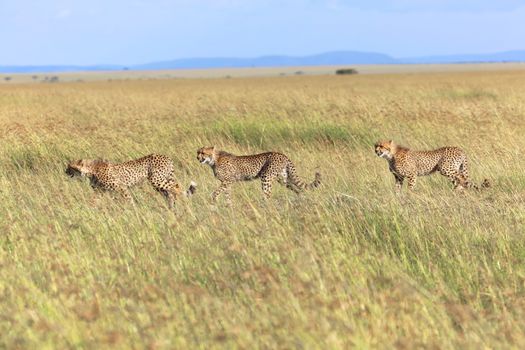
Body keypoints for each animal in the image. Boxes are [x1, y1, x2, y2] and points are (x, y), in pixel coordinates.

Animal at [65, 154, 196, 208]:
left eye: (70, 167)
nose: (65, 171)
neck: (91, 170)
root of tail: (166, 156)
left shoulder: (121, 187)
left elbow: (128, 198)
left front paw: (133, 209)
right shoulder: (99, 191)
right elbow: (93, 201)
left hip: (157, 180)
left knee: (176, 187)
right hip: (160, 182)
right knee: (170, 192)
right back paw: (171, 206)